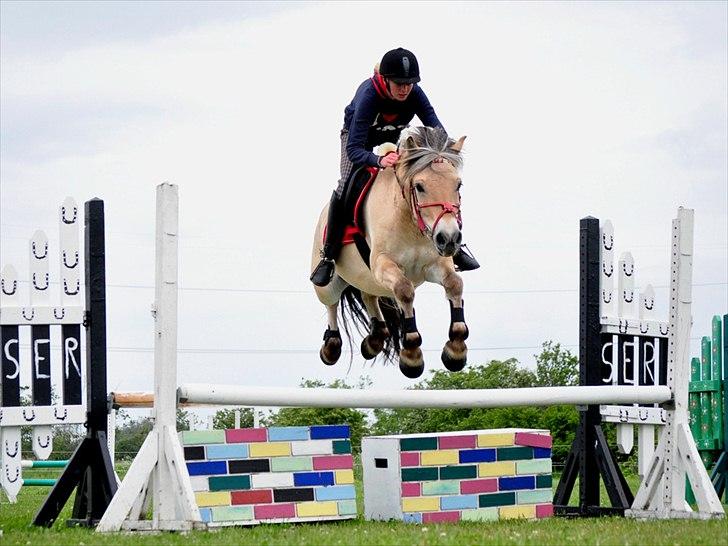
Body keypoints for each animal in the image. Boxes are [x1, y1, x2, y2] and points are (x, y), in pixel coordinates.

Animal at [310, 125, 470, 376]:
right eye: (420, 187)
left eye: (458, 185)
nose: (450, 239)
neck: (410, 222)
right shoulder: (383, 264)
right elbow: (405, 291)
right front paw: (412, 354)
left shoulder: (434, 264)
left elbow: (455, 284)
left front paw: (455, 349)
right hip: (329, 282)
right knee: (331, 302)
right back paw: (332, 346)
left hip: (369, 279)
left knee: (369, 295)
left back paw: (375, 339)